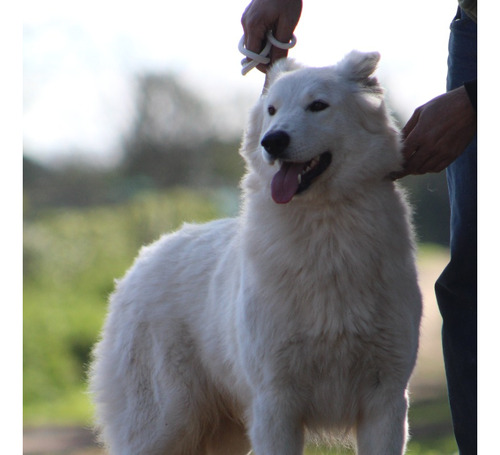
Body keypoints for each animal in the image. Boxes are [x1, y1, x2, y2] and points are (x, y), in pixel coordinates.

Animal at [90, 50, 422, 455]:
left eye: (317, 105)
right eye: (272, 110)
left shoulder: (385, 400)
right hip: (164, 426)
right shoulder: (275, 401)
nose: (272, 141)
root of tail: (143, 258)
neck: (325, 232)